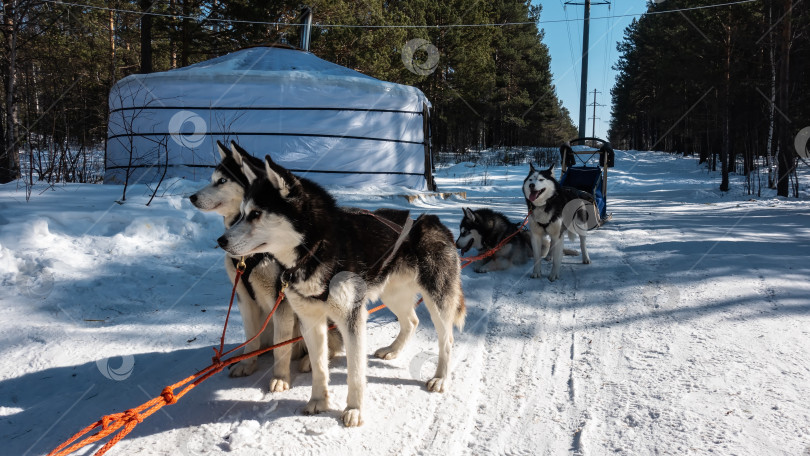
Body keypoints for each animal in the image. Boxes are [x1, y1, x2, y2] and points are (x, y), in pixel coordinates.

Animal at [189, 142, 338, 392]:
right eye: (212, 179)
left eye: (222, 181)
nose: (191, 197)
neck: (251, 253)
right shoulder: (243, 296)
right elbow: (251, 334)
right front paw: (248, 363)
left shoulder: (282, 299)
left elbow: (281, 346)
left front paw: (280, 377)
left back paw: (310, 360)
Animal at [218, 151, 464, 426]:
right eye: (241, 213)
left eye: (256, 213)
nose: (221, 241)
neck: (317, 249)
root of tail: (433, 221)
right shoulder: (310, 320)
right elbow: (319, 366)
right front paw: (318, 401)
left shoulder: (351, 319)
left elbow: (355, 373)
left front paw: (354, 410)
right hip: (392, 294)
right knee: (411, 321)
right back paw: (392, 350)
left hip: (437, 300)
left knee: (447, 339)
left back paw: (440, 378)